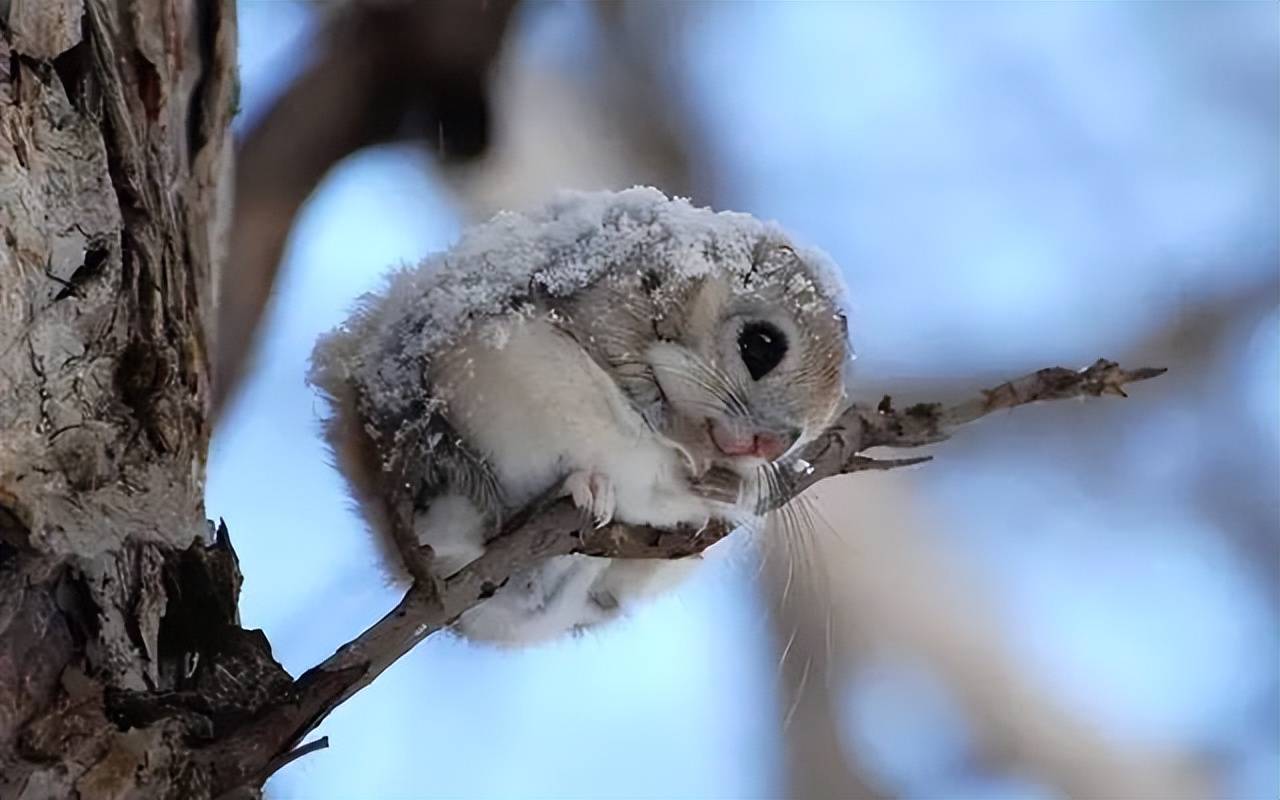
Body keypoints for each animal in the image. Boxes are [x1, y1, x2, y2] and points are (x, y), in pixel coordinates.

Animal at [308, 185, 849, 642]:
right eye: (760, 345)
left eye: (813, 426)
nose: (771, 445)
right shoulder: (608, 304)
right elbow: (640, 384)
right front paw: (688, 445)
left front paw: (739, 483)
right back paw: (585, 487)